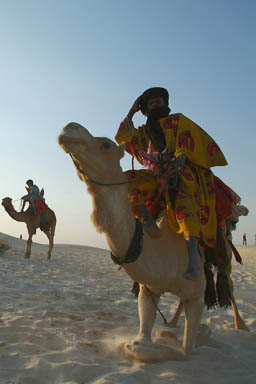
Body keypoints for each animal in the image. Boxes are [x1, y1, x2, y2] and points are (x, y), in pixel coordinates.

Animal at [58, 122, 206, 360]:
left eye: (105, 144)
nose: (69, 128)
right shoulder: (150, 287)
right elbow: (140, 339)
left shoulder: (197, 295)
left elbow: (187, 349)